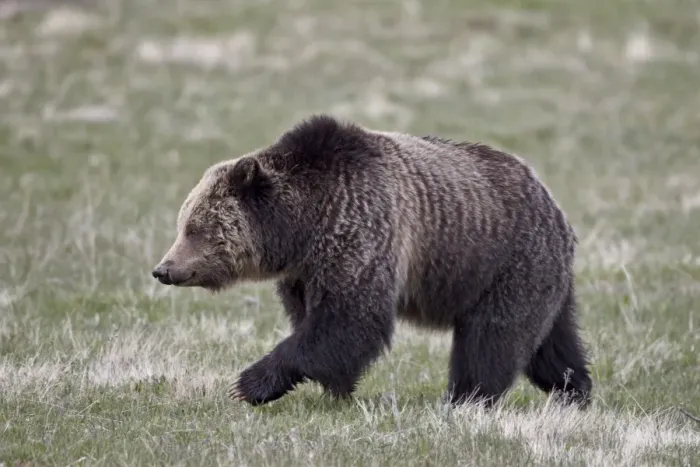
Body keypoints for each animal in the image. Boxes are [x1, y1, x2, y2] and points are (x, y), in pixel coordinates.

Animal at [152, 114, 593, 408]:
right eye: (183, 223)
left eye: (195, 228)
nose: (163, 269)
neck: (303, 227)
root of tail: (555, 206)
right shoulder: (304, 272)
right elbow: (317, 323)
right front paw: (336, 389)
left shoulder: (361, 230)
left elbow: (349, 318)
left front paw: (250, 383)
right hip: (539, 279)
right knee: (553, 345)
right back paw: (575, 390)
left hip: (504, 263)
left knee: (493, 339)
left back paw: (466, 398)